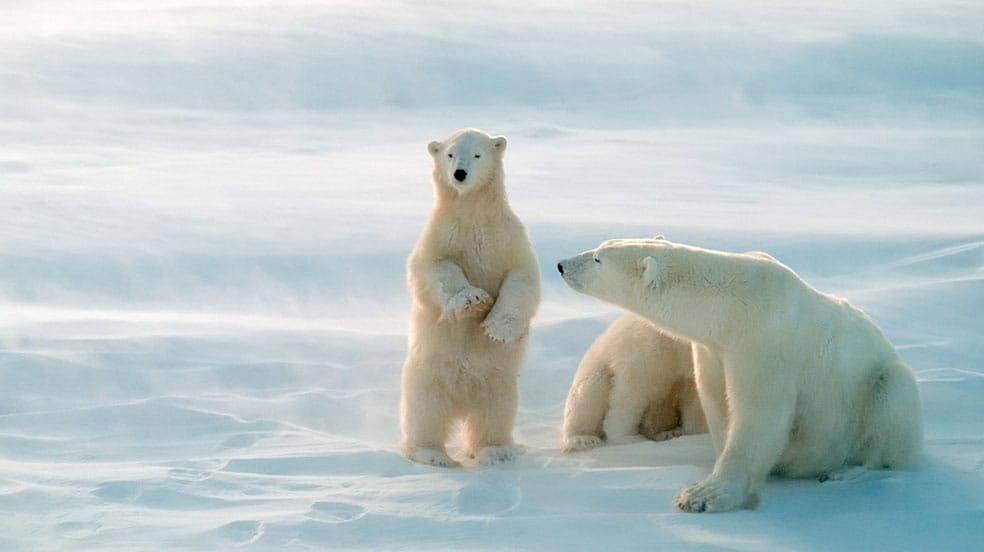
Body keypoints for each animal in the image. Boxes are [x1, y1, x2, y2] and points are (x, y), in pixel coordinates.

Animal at [400, 128, 541, 468]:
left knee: (494, 414)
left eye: (477, 154)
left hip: (499, 382)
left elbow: (522, 278)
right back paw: (431, 454)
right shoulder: (442, 236)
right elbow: (435, 269)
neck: (473, 213)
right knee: (425, 414)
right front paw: (472, 299)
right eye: (450, 154)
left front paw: (496, 328)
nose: (460, 174)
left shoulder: (506, 239)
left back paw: (497, 450)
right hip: (426, 375)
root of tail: (462, 402)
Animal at [562, 313, 706, 453]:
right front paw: (630, 438)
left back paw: (669, 432)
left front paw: (691, 432)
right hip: (594, 371)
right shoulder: (650, 349)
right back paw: (583, 438)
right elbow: (632, 391)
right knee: (589, 394)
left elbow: (694, 401)